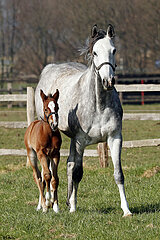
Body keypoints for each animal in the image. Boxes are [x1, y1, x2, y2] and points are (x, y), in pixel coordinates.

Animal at [35, 24, 132, 218]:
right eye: (95, 52)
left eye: (114, 50)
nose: (108, 81)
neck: (99, 104)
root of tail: (49, 68)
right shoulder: (80, 141)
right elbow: (78, 172)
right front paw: (72, 207)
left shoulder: (115, 138)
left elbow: (118, 174)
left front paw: (126, 209)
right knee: (47, 169)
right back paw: (46, 203)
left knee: (68, 164)